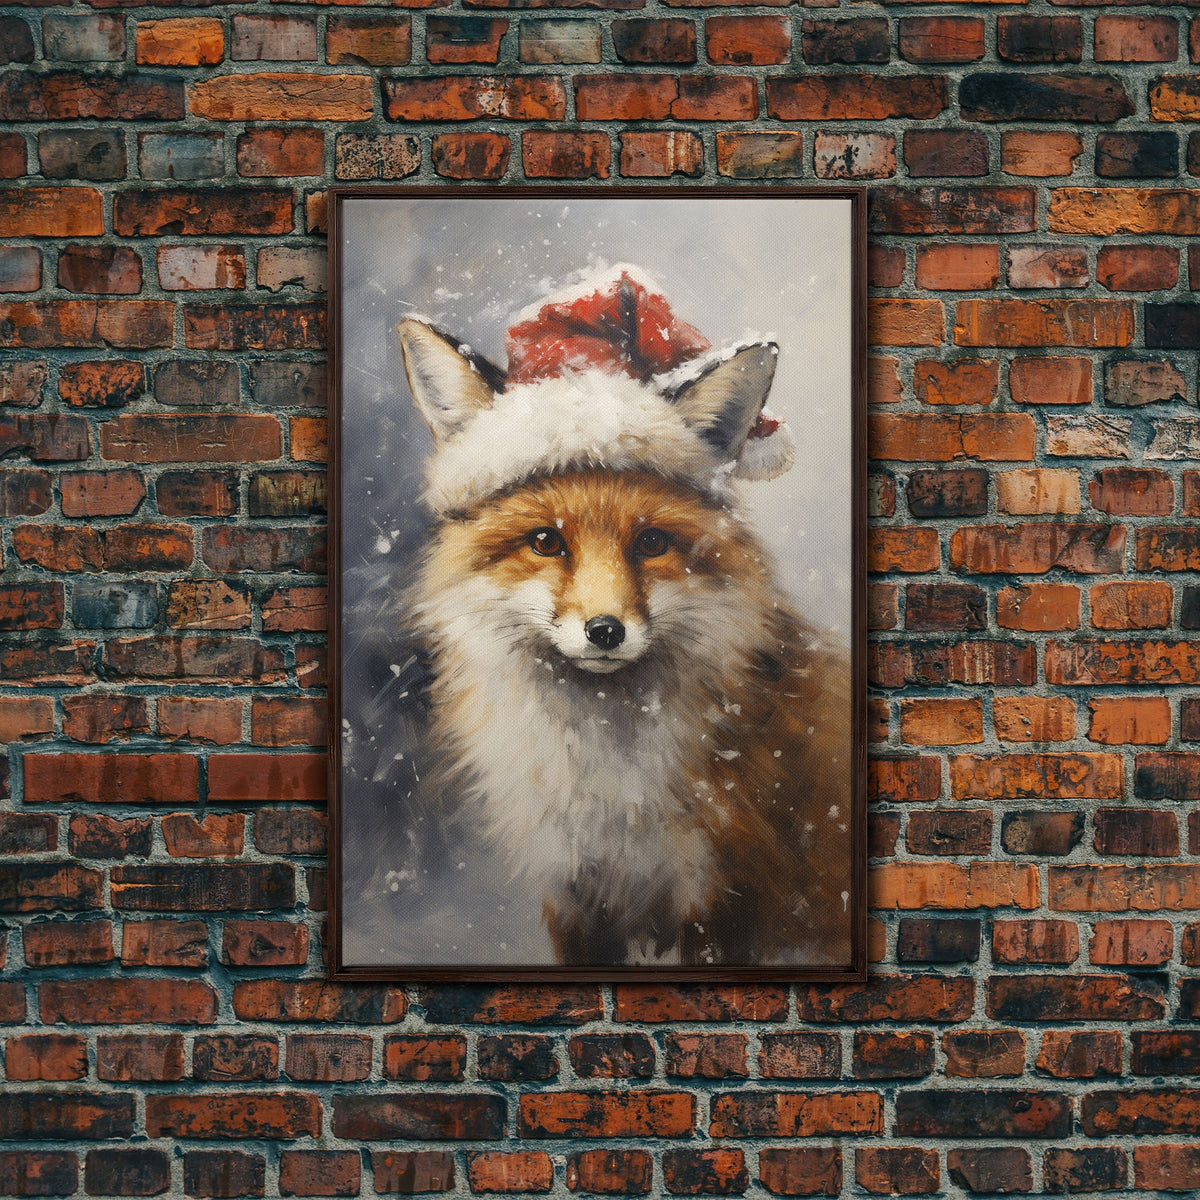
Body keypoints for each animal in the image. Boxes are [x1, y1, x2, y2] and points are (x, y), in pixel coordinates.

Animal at [394, 275, 853, 968]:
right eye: (546, 541)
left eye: (652, 543)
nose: (606, 631)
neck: (606, 792)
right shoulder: (575, 895)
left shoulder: (718, 896)